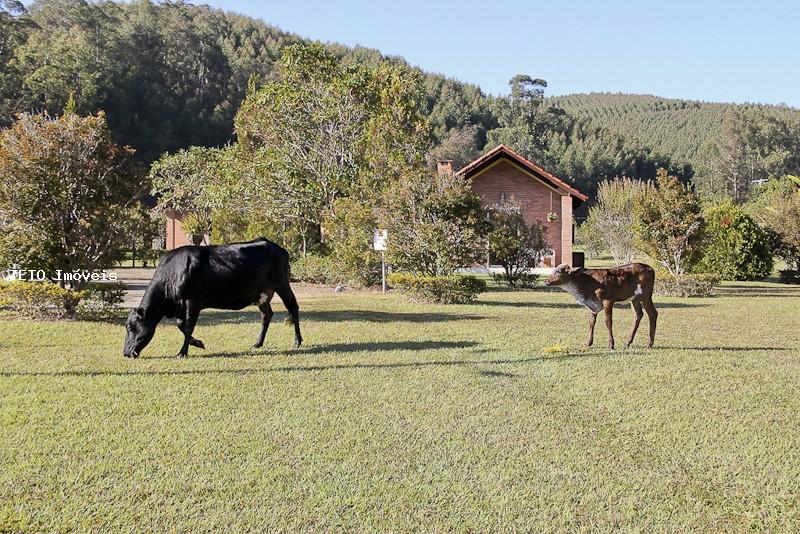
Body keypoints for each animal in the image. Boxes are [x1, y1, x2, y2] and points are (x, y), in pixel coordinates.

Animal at [123, 239, 302, 360]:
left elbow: (188, 327)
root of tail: (276, 246)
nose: (125, 353)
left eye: (131, 327)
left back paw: (298, 341)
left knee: (293, 307)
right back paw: (258, 343)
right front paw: (198, 343)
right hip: (262, 294)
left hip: (281, 283)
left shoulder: (193, 302)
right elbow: (181, 325)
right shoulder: (181, 307)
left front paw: (182, 352)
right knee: (267, 315)